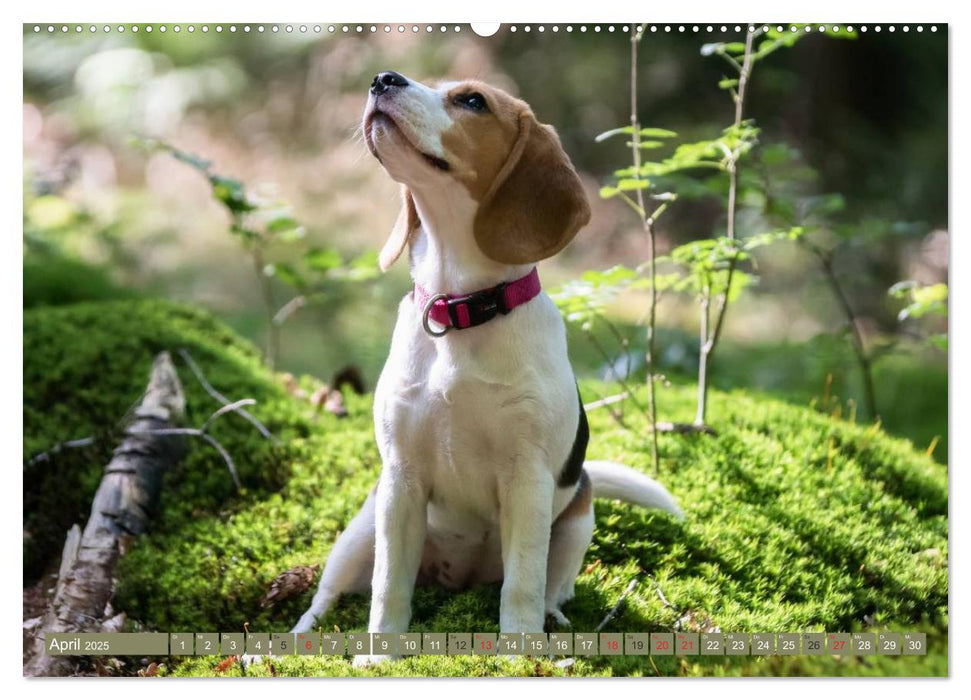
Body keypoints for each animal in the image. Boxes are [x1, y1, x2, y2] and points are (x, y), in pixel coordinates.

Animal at [280, 74, 680, 664]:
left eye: (472, 101)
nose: (383, 78)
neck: (460, 310)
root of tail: (460, 577)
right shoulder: (401, 478)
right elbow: (388, 584)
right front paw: (380, 654)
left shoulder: (527, 478)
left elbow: (522, 584)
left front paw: (518, 654)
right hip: (360, 532)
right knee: (324, 598)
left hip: (577, 517)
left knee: (551, 586)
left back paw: (554, 620)